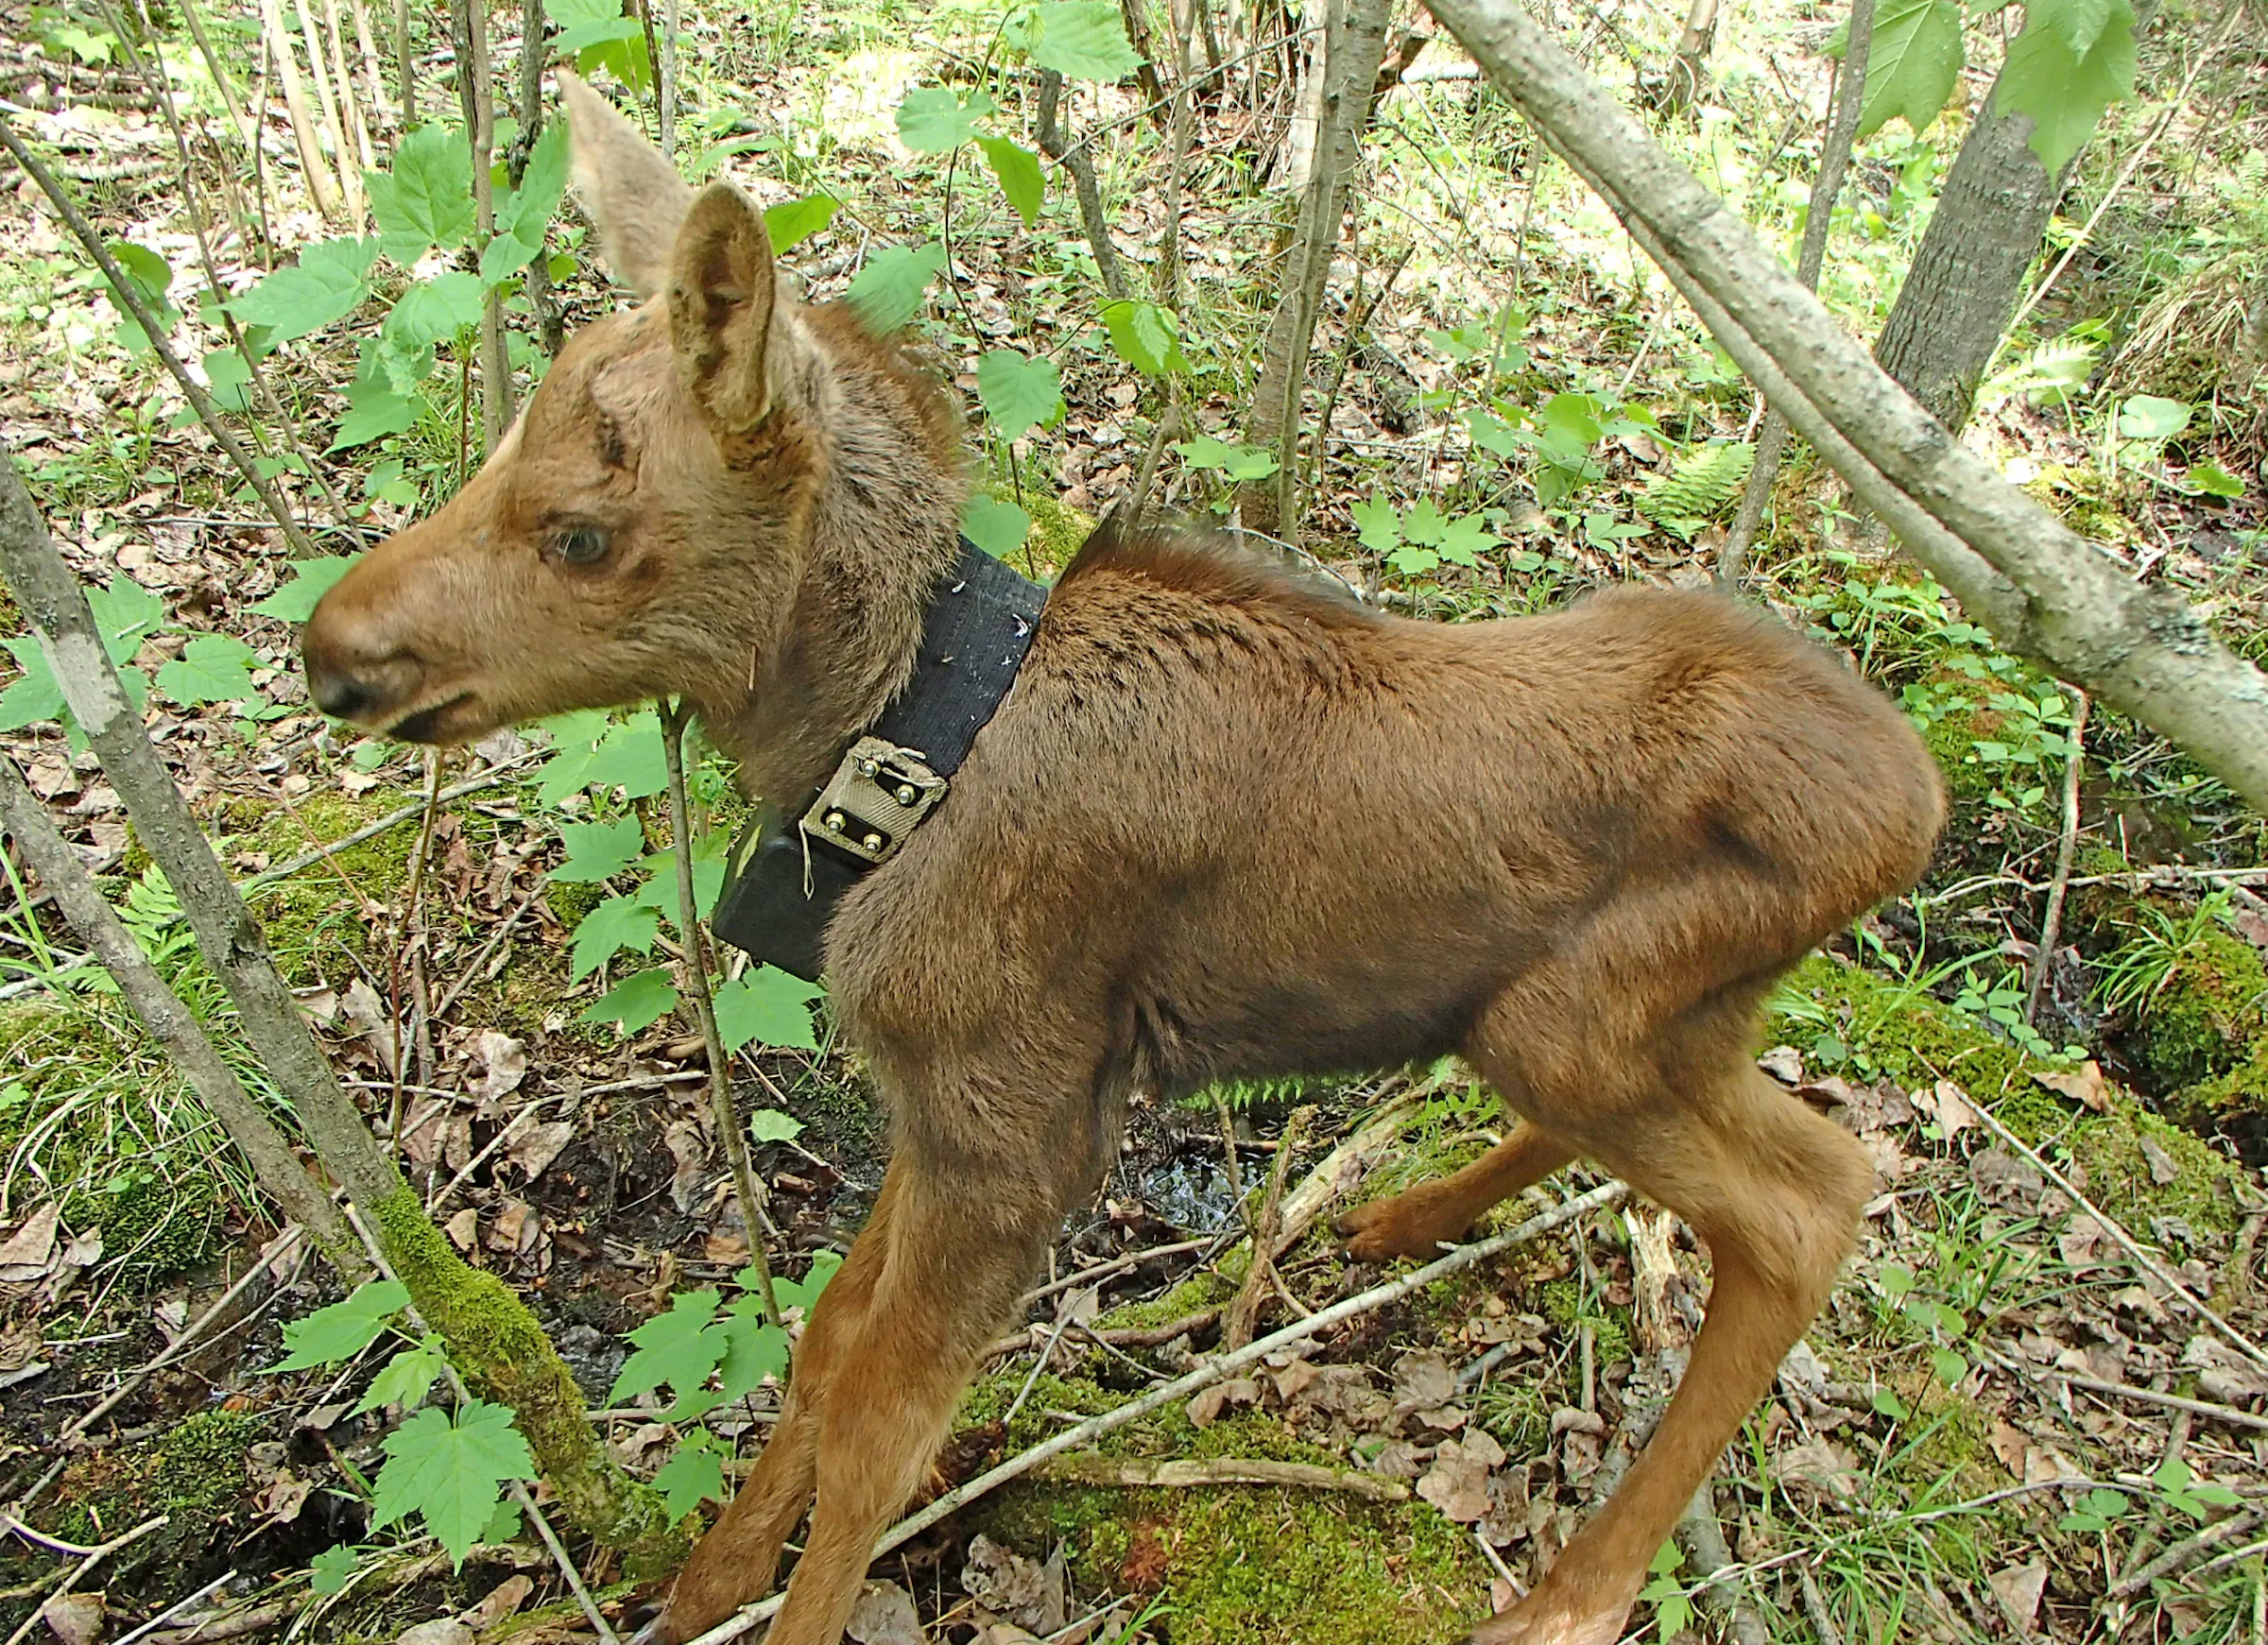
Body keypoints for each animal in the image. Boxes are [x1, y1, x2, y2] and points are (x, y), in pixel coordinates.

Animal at [302, 70, 1945, 1645]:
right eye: (499, 447)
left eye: (580, 532)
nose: (332, 653)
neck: (896, 748)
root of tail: (1916, 807)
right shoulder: (947, 1094)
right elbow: (825, 1343)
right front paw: (703, 1588)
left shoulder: (1018, 1121)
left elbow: (886, 1422)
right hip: (1644, 1016)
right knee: (1770, 1142)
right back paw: (1406, 1217)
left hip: (1576, 1020)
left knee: (1818, 1198)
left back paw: (1571, 1593)